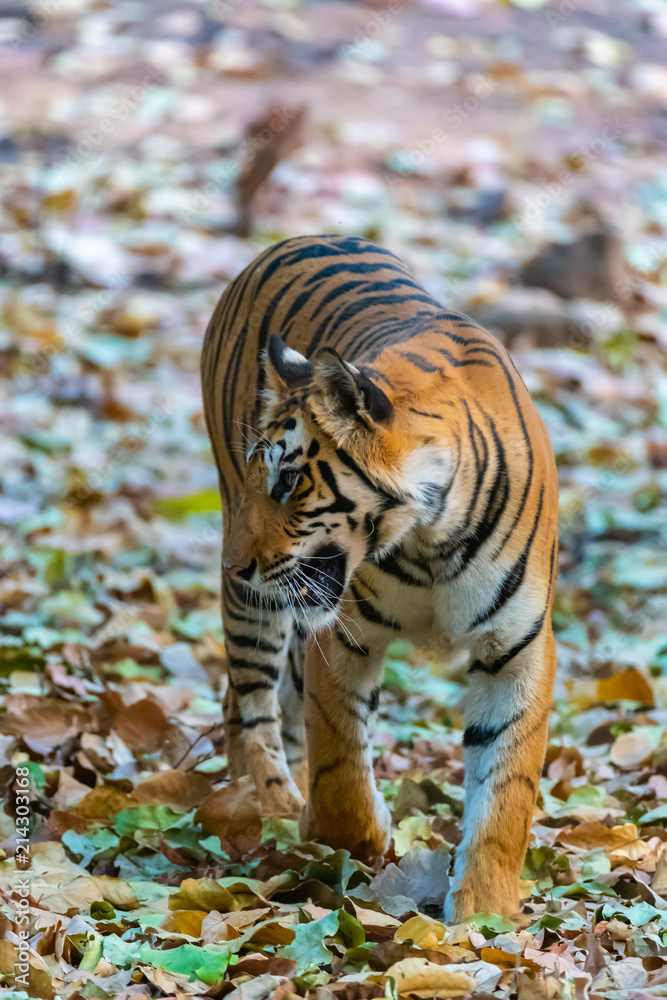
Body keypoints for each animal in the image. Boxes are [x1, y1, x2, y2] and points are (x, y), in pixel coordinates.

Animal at [201, 234, 558, 921]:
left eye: (288, 482)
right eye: (264, 478)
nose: (233, 562)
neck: (431, 538)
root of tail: (298, 238)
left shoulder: (517, 648)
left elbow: (506, 791)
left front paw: (485, 913)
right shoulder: (344, 638)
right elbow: (340, 766)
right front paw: (352, 834)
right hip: (257, 607)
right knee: (251, 699)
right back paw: (271, 803)